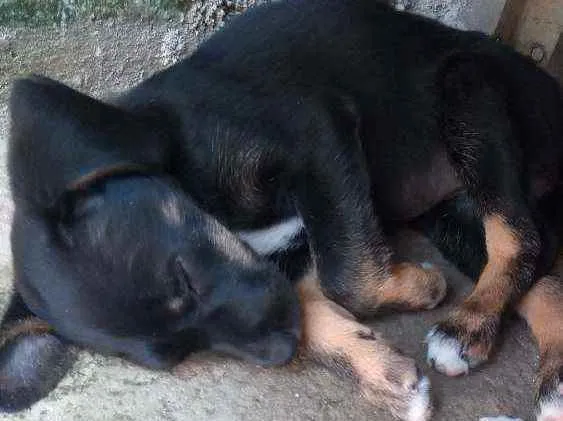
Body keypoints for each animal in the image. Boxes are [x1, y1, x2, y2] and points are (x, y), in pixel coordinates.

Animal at [1, 0, 563, 420]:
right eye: (181, 352)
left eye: (184, 277)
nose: (281, 352)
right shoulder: (281, 267)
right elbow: (322, 301)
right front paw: (383, 372)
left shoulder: (318, 136)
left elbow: (348, 279)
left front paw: (419, 285)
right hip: (451, 217)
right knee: (538, 265)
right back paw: (544, 375)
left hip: (468, 94)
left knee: (519, 236)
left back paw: (467, 325)